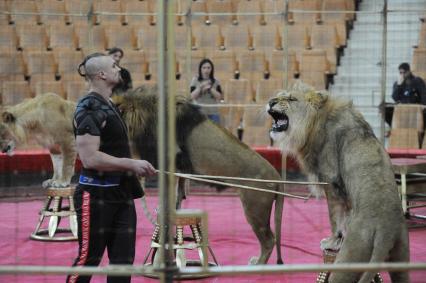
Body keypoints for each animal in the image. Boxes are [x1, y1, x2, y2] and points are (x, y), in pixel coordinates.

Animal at [116, 87, 284, 266]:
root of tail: (277, 176)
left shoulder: (171, 161)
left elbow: (169, 193)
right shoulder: (180, 168)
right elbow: (178, 193)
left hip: (255, 209)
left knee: (269, 240)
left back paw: (257, 265)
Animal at [266, 81, 410, 282]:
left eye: (291, 99)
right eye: (278, 96)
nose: (271, 102)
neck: (314, 123)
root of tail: (385, 233)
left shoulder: (331, 183)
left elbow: (335, 217)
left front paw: (332, 242)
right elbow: (345, 215)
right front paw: (339, 238)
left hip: (347, 264)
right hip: (401, 262)